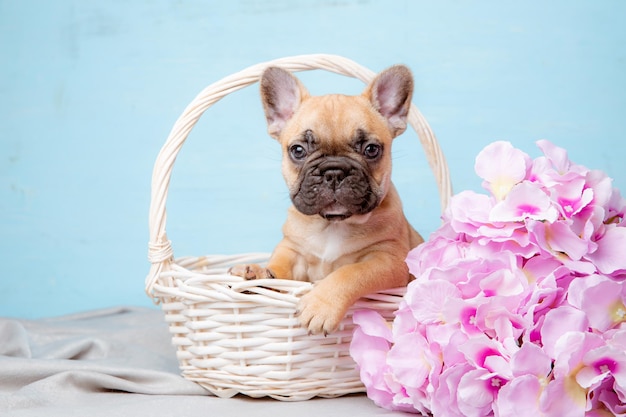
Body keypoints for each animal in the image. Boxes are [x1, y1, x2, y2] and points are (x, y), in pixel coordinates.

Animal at [227, 64, 422, 334]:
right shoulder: (292, 250)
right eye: (298, 150)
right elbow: (279, 266)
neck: (332, 223)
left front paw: (321, 305)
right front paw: (258, 272)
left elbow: (352, 272)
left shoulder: (388, 260)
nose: (334, 172)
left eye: (371, 149)